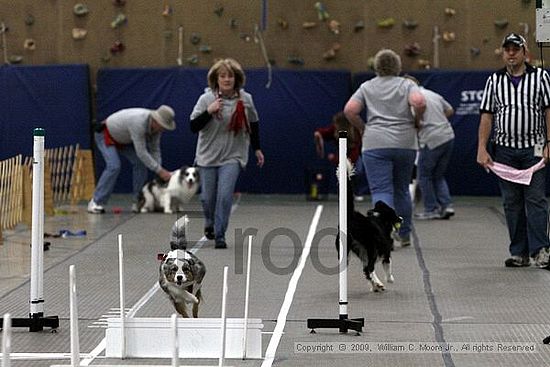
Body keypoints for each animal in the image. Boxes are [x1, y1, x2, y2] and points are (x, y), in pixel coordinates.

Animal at [338, 161, 404, 294]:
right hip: (372, 248)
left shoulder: (364, 254)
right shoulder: (386, 250)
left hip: (347, 251)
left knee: (366, 269)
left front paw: (375, 286)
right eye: (394, 213)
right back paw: (379, 284)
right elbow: (387, 265)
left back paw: (376, 285)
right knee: (369, 268)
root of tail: (352, 217)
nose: (401, 218)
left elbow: (367, 272)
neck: (380, 218)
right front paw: (389, 280)